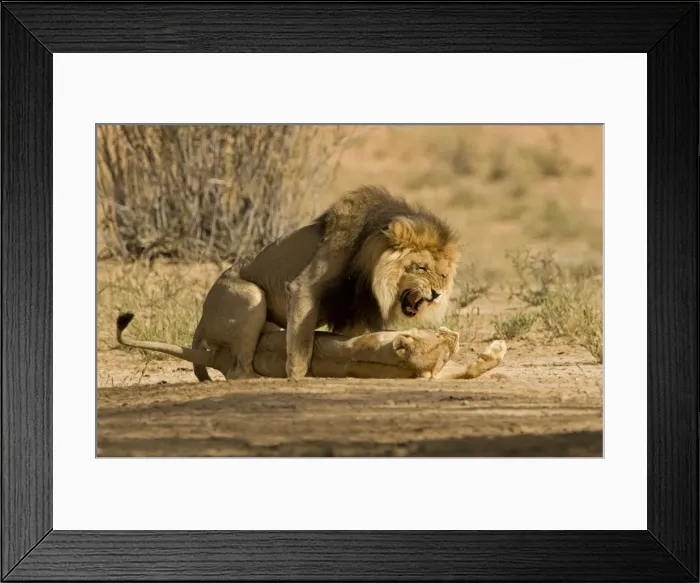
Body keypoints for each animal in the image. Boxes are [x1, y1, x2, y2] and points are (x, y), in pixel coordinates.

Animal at [191, 185, 461, 381]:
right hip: (250, 295)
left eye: (443, 275)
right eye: (421, 268)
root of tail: (201, 322)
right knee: (237, 370)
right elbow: (301, 344)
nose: (437, 294)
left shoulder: (355, 312)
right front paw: (298, 377)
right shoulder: (304, 289)